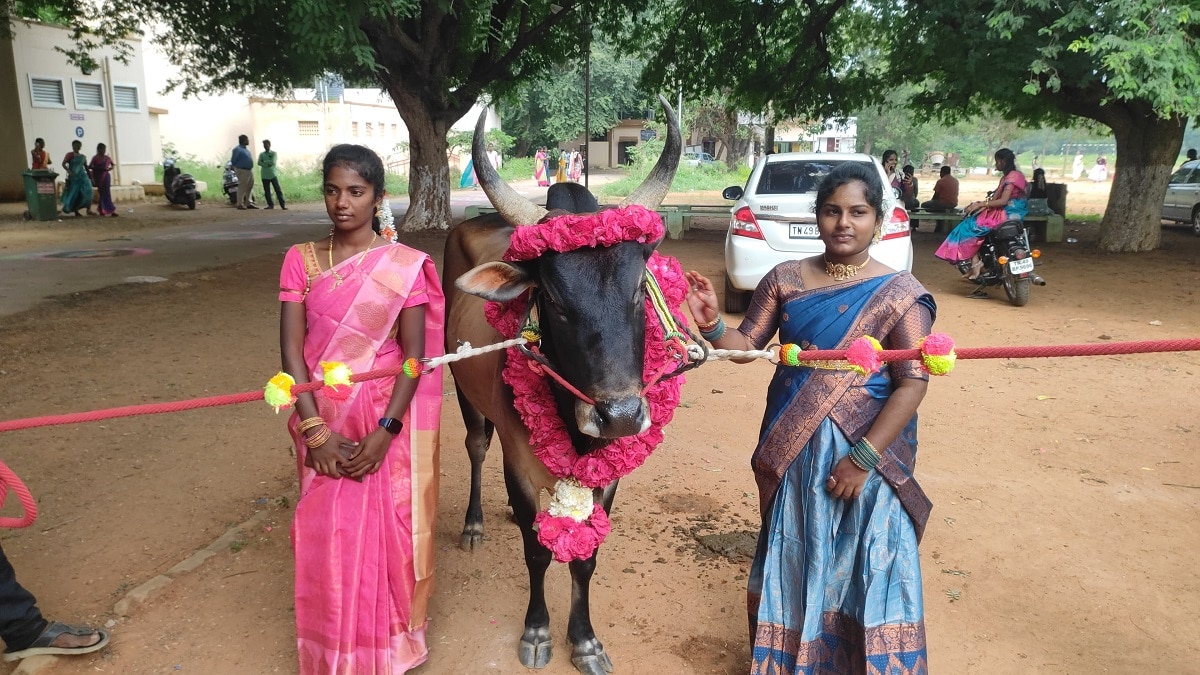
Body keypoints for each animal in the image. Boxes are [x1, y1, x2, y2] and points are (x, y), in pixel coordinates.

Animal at [441, 96, 686, 672]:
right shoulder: (519, 456)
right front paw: (537, 631)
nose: (620, 416)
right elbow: (537, 551)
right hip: (465, 394)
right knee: (476, 446)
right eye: (550, 296)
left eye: (638, 289)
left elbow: (586, 556)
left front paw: (586, 639)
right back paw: (475, 523)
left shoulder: (607, 476)